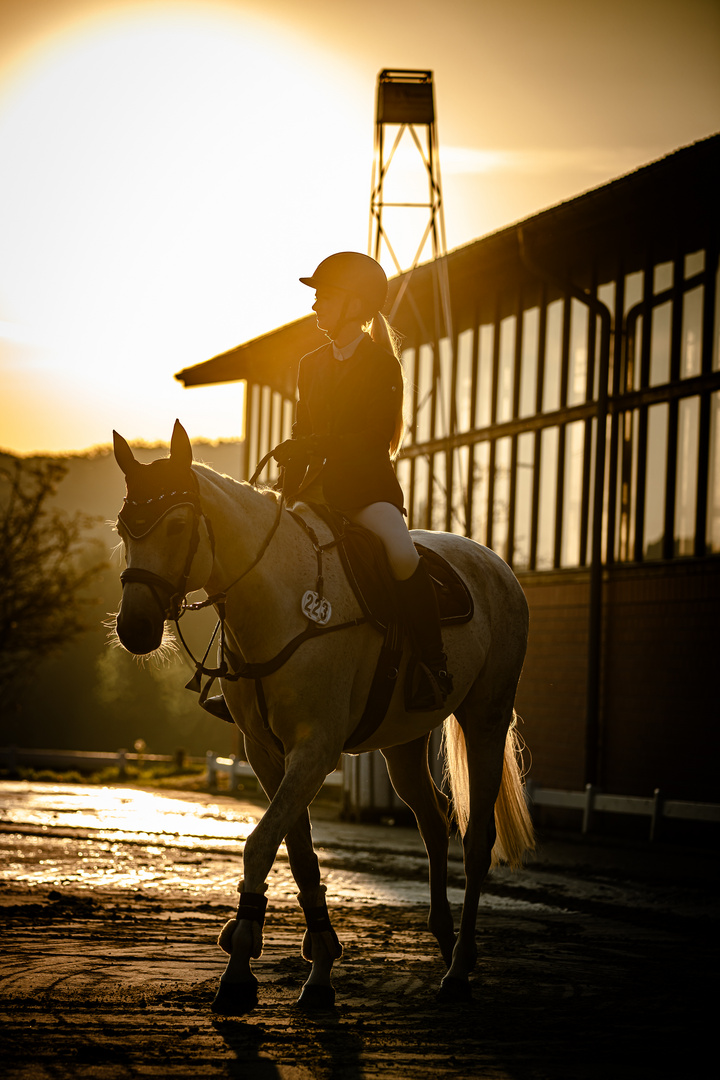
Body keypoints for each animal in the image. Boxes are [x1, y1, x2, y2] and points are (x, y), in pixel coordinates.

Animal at [112, 419, 535, 1010]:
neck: (278, 598)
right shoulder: (268, 754)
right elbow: (299, 850)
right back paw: (444, 938)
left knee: (475, 841)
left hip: (486, 719)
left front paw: (239, 971)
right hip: (402, 744)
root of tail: (496, 565)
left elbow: (261, 844)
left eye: (175, 525)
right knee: (433, 824)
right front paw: (318, 962)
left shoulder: (314, 750)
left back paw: (458, 969)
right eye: (124, 527)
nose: (135, 630)